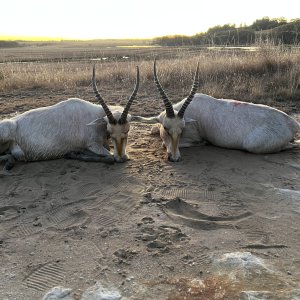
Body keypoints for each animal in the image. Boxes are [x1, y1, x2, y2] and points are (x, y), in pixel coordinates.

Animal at [0, 65, 140, 169]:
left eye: (127, 130)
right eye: (110, 131)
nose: (121, 158)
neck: (95, 116)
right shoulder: (93, 145)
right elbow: (110, 157)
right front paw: (75, 153)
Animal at [134, 60, 300, 162]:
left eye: (181, 130)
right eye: (166, 128)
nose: (175, 158)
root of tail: (293, 123)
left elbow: (165, 143)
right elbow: (154, 129)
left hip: (253, 145)